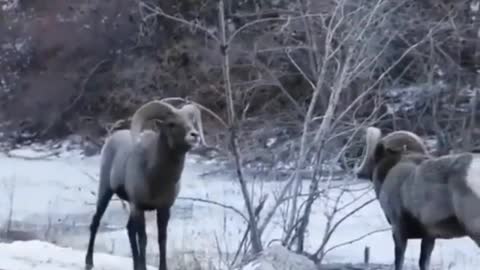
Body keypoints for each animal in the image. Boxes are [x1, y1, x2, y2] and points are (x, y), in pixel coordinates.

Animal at [85, 99, 205, 270]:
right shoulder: (139, 207)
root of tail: (111, 139)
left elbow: (162, 239)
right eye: (172, 123)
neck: (156, 177)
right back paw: (89, 262)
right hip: (106, 192)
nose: (194, 135)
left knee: (129, 230)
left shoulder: (163, 209)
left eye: (191, 122)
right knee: (96, 222)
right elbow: (143, 239)